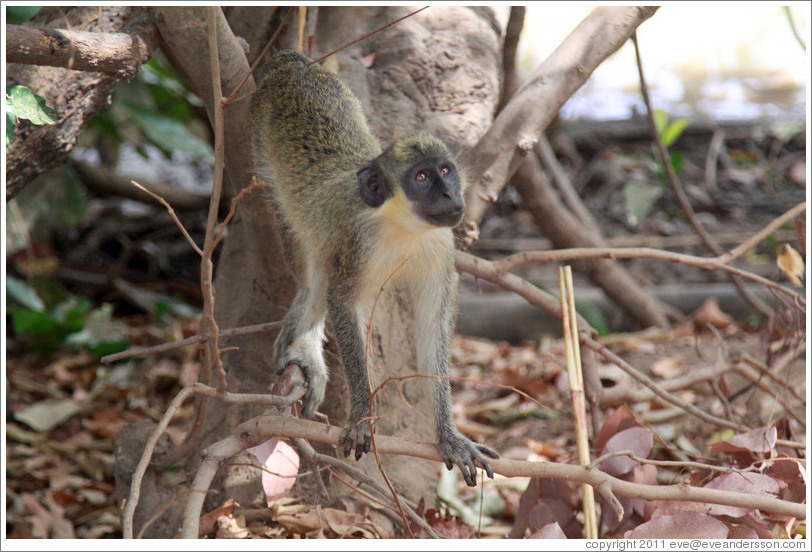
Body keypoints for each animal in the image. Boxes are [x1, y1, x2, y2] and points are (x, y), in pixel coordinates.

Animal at [251, 49, 498, 486]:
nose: (450, 195)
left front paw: (448, 433)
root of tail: (292, 66)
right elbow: (342, 302)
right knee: (311, 266)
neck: (402, 226)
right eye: (422, 177)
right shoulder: (356, 240)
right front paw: (362, 414)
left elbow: (432, 325)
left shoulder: (440, 247)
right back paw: (305, 335)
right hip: (262, 153)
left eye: (445, 170)